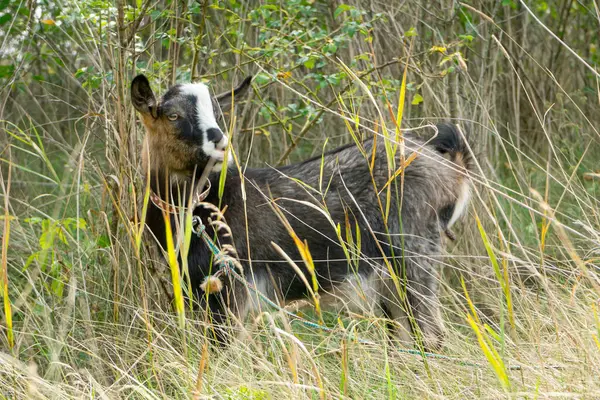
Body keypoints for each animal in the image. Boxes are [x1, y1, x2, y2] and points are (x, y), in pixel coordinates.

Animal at [131, 74, 474, 350]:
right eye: (173, 115)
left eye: (218, 112)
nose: (220, 142)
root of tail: (449, 168)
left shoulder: (231, 290)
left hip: (414, 256)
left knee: (431, 336)